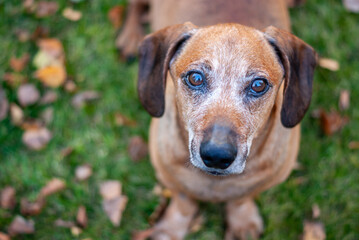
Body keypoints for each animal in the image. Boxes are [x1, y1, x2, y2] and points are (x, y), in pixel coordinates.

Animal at [117, 0, 316, 239]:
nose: (217, 156)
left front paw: (241, 223)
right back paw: (130, 37)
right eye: (195, 78)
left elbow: (241, 198)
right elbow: (183, 203)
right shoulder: (168, 176)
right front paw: (172, 228)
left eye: (259, 85)